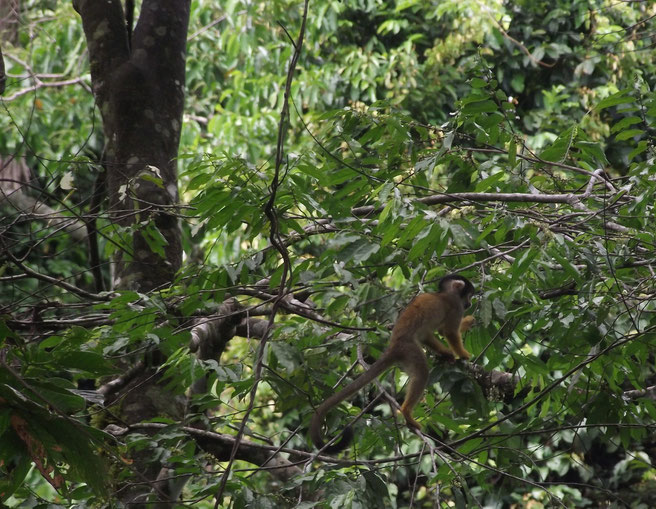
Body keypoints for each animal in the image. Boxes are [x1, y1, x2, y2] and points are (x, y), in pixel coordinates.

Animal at [310, 274, 474, 452]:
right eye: (469, 295)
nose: (470, 304)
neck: (444, 294)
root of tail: (393, 346)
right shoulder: (456, 305)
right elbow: (448, 332)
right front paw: (464, 354)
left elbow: (429, 335)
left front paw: (450, 350)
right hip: (409, 350)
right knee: (422, 372)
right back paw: (407, 412)